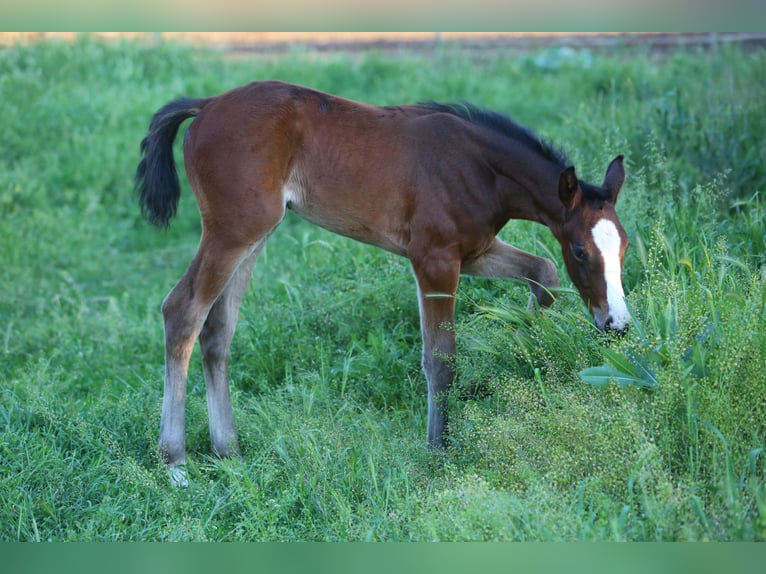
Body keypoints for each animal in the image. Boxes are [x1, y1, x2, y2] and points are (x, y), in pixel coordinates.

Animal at [136, 80, 630, 485]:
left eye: (624, 246)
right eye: (581, 251)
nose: (618, 324)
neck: (480, 168)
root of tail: (207, 105)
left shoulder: (474, 251)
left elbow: (543, 273)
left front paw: (525, 342)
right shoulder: (433, 259)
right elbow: (441, 359)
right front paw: (438, 450)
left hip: (254, 233)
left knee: (217, 328)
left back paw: (229, 452)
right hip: (235, 229)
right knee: (183, 312)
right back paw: (176, 463)